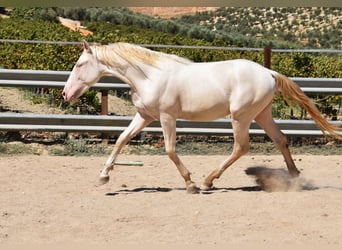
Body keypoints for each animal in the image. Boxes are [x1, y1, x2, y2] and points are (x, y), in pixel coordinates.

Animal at [62, 41, 340, 193]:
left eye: (78, 65)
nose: (65, 94)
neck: (149, 76)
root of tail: (269, 72)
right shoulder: (144, 115)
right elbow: (121, 139)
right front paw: (103, 176)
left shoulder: (166, 116)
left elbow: (170, 150)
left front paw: (190, 184)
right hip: (261, 114)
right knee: (280, 139)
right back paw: (295, 178)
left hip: (240, 116)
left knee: (241, 147)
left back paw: (208, 181)